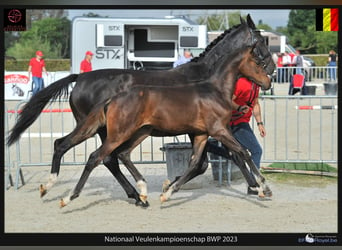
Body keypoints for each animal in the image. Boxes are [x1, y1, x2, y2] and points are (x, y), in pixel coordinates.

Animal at [8, 15, 276, 207]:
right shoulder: (207, 129)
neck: (206, 77)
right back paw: (132, 195)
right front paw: (257, 186)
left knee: (93, 153)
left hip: (104, 129)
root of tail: (80, 77)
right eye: (261, 43)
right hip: (105, 130)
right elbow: (232, 155)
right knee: (104, 157)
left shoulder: (199, 130)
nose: (272, 71)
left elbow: (209, 161)